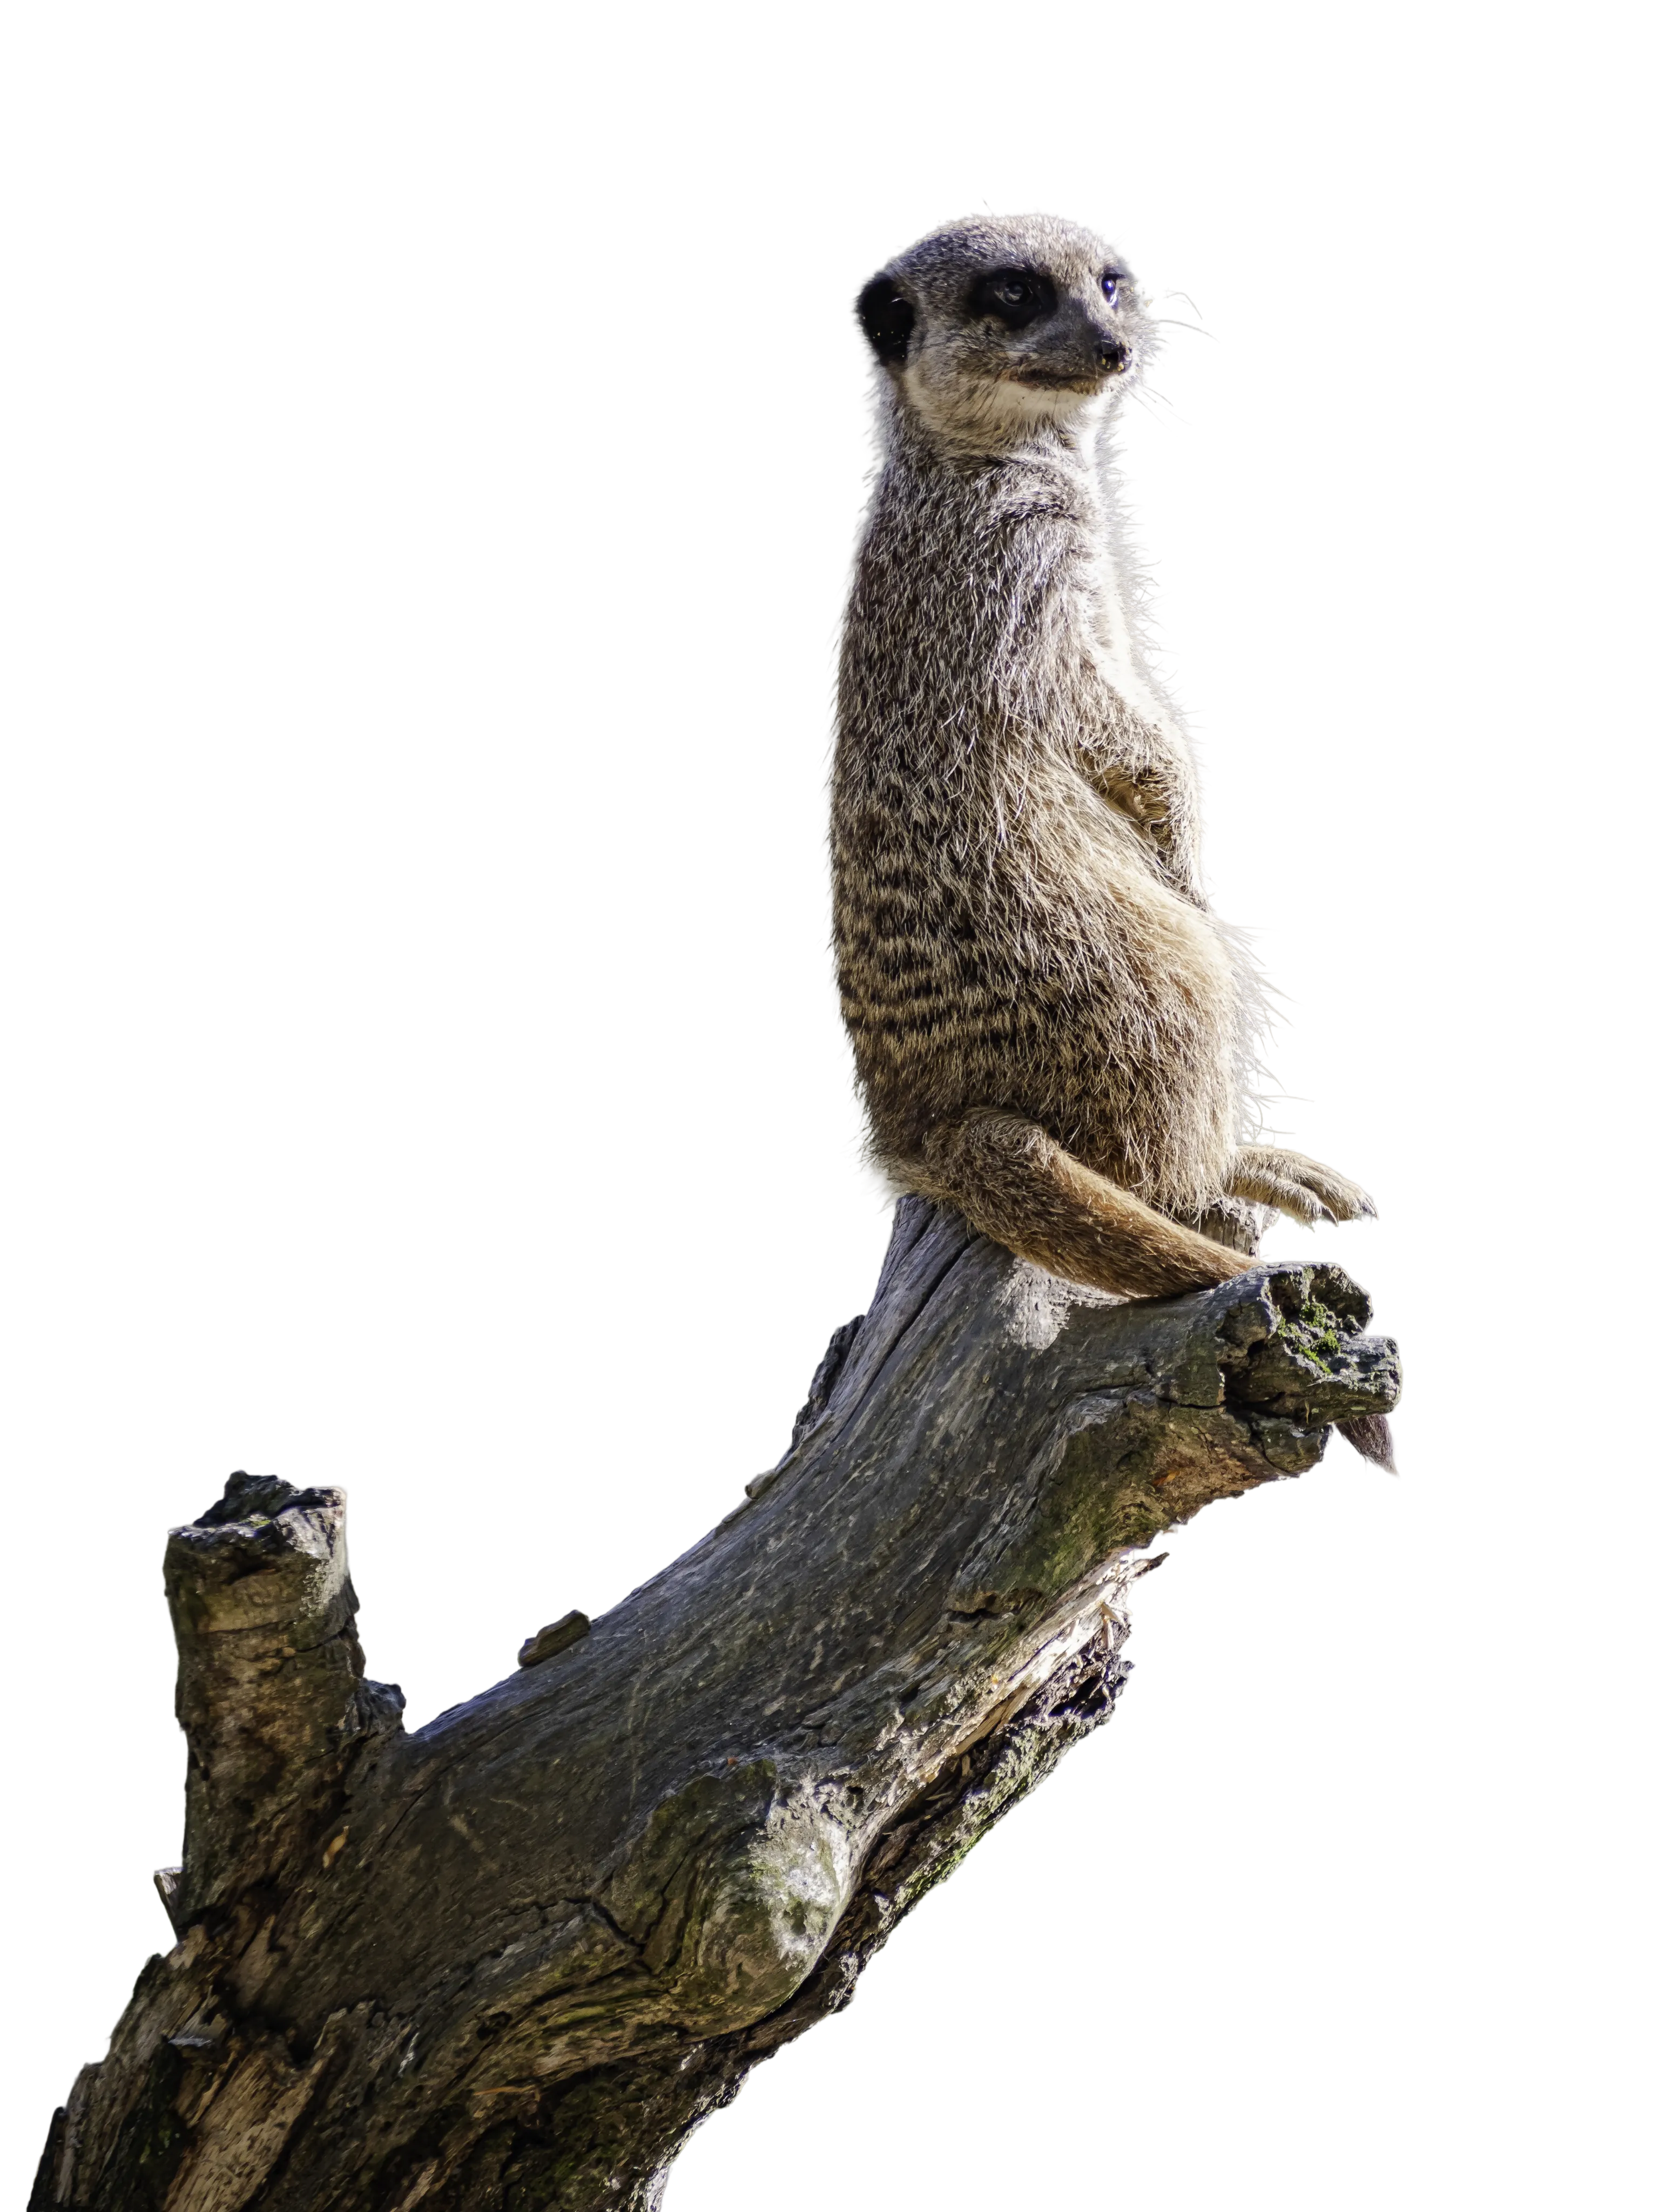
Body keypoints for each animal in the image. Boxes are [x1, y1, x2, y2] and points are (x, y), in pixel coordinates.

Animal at [823, 207, 1375, 1299]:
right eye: (1014, 292)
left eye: (1112, 282)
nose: (1116, 346)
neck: (981, 459)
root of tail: (935, 1136)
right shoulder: (1019, 565)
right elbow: (1115, 724)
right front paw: (1188, 841)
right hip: (1126, 961)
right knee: (1174, 1068)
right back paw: (1236, 1163)